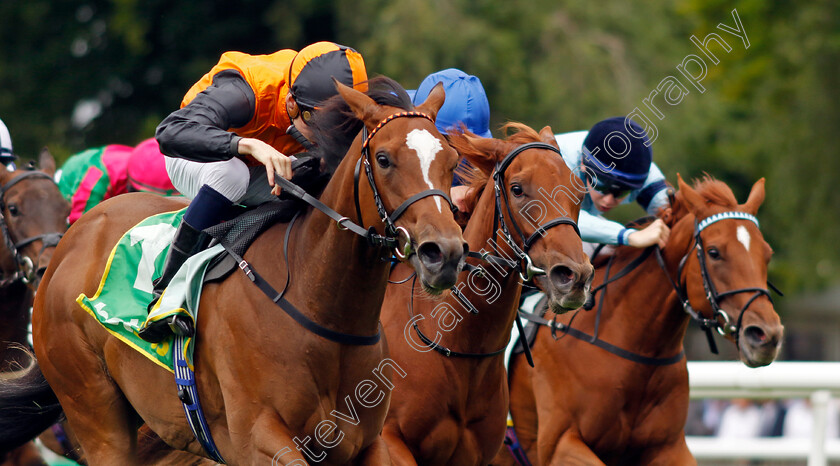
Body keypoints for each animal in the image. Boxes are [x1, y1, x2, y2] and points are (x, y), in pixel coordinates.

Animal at [0, 78, 466, 464]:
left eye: (451, 160)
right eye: (384, 159)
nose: (443, 252)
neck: (322, 307)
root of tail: (69, 244)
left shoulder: (365, 443)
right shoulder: (258, 440)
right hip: (96, 415)